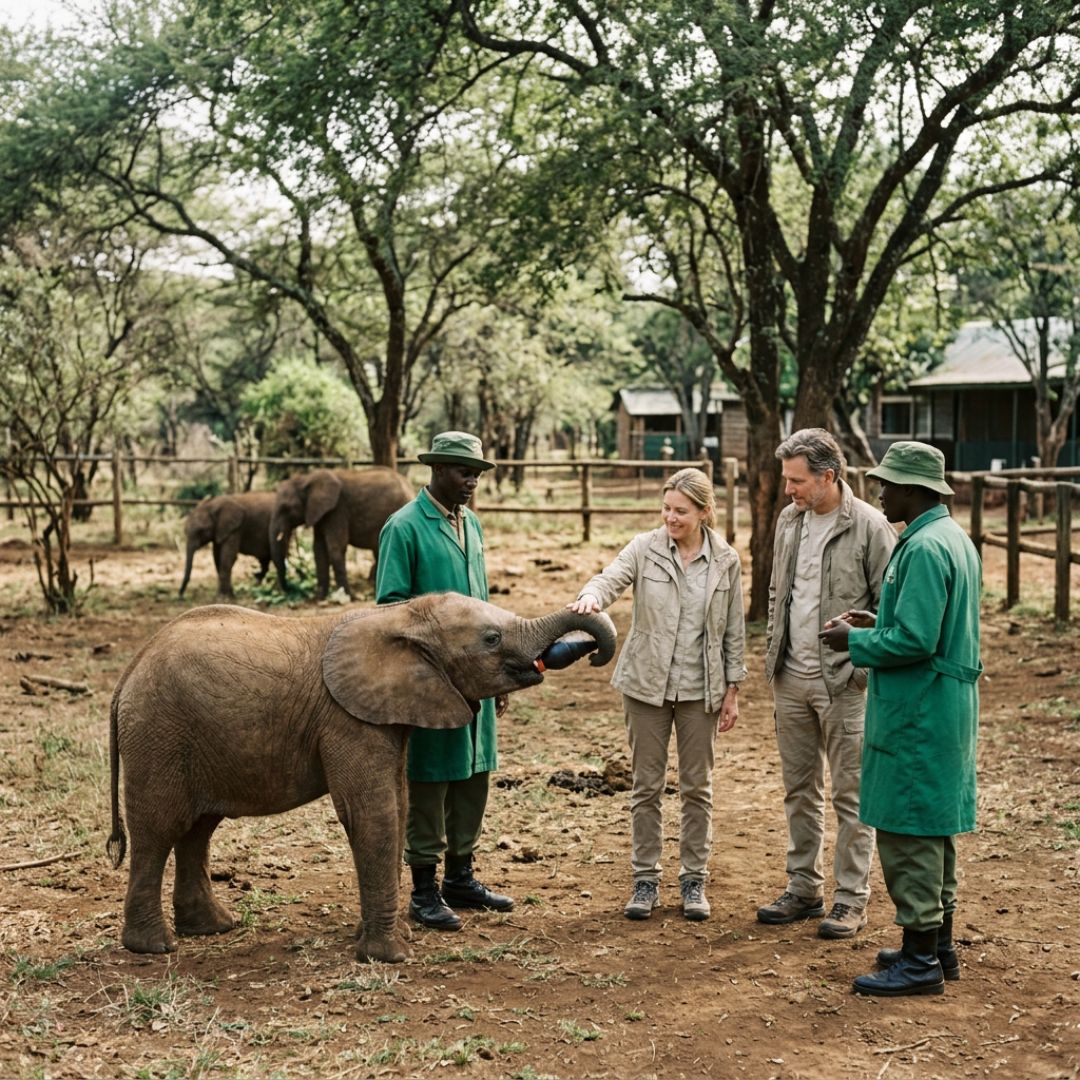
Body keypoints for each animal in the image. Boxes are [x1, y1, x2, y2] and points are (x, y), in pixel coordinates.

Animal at [106, 592, 616, 964]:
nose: (589, 653)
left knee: (197, 829)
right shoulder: (346, 718)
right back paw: (154, 947)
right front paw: (391, 956)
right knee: (159, 829)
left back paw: (213, 928)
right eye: (492, 639)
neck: (402, 616)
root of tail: (128, 671)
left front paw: (391, 937)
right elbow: (373, 812)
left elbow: (399, 801)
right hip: (159, 734)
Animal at [270, 467, 413, 599]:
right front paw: (319, 598)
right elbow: (318, 550)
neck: (306, 478)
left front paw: (347, 596)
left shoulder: (337, 510)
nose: (287, 591)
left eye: (286, 508)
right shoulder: (321, 514)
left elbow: (336, 548)